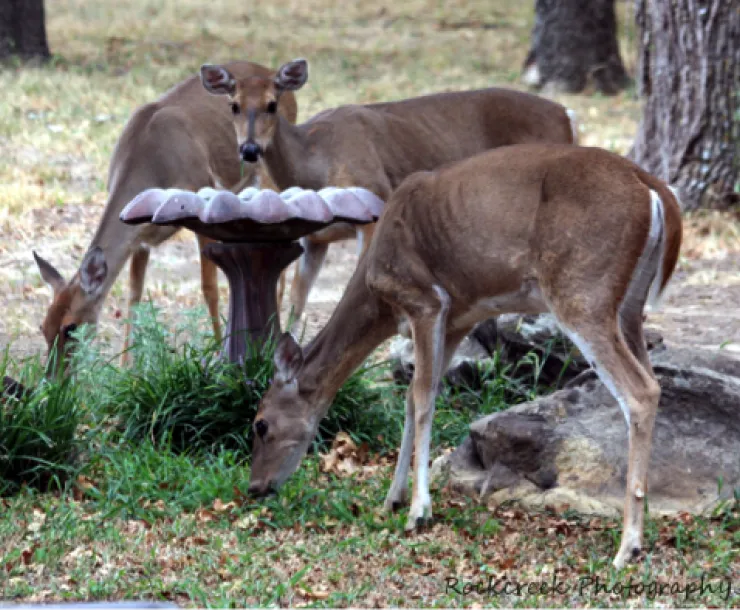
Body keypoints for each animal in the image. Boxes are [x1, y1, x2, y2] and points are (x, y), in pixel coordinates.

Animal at [33, 61, 298, 372]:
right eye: (43, 327)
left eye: (71, 327)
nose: (52, 378)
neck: (150, 162)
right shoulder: (140, 236)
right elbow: (133, 295)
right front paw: (126, 368)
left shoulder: (202, 201)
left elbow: (209, 289)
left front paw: (219, 357)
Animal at [199, 58, 579, 327]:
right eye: (233, 105)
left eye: (272, 104)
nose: (249, 149)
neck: (315, 163)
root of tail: (567, 115)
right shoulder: (314, 238)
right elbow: (296, 301)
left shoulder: (373, 202)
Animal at [247, 143, 683, 569]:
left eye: (260, 424)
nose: (254, 487)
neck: (378, 294)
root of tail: (652, 189)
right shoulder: (457, 319)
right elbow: (416, 398)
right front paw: (393, 498)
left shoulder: (425, 300)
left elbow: (421, 397)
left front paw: (418, 511)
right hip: (628, 306)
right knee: (652, 378)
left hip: (582, 291)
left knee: (640, 391)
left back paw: (627, 547)